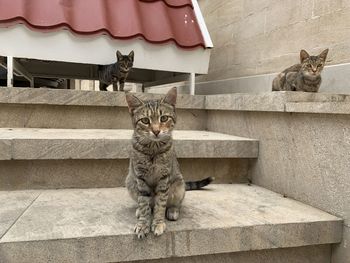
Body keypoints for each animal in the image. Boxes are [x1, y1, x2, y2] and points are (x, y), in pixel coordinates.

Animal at [126, 88, 213, 239]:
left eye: (164, 118)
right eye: (145, 120)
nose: (156, 131)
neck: (153, 149)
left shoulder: (164, 178)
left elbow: (161, 204)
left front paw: (158, 223)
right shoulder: (140, 179)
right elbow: (144, 204)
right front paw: (143, 223)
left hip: (179, 185)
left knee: (175, 203)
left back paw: (173, 210)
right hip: (130, 182)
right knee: (147, 204)